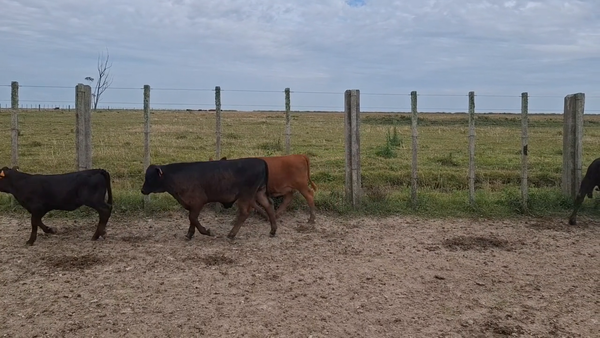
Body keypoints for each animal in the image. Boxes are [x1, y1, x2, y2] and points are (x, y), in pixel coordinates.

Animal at [142, 158, 278, 240]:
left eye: (150, 177)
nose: (142, 190)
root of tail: (260, 160)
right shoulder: (190, 204)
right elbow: (192, 219)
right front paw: (190, 233)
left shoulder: (198, 201)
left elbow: (192, 218)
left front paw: (206, 231)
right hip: (259, 193)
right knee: (269, 206)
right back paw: (273, 230)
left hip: (245, 196)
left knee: (245, 213)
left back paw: (231, 234)